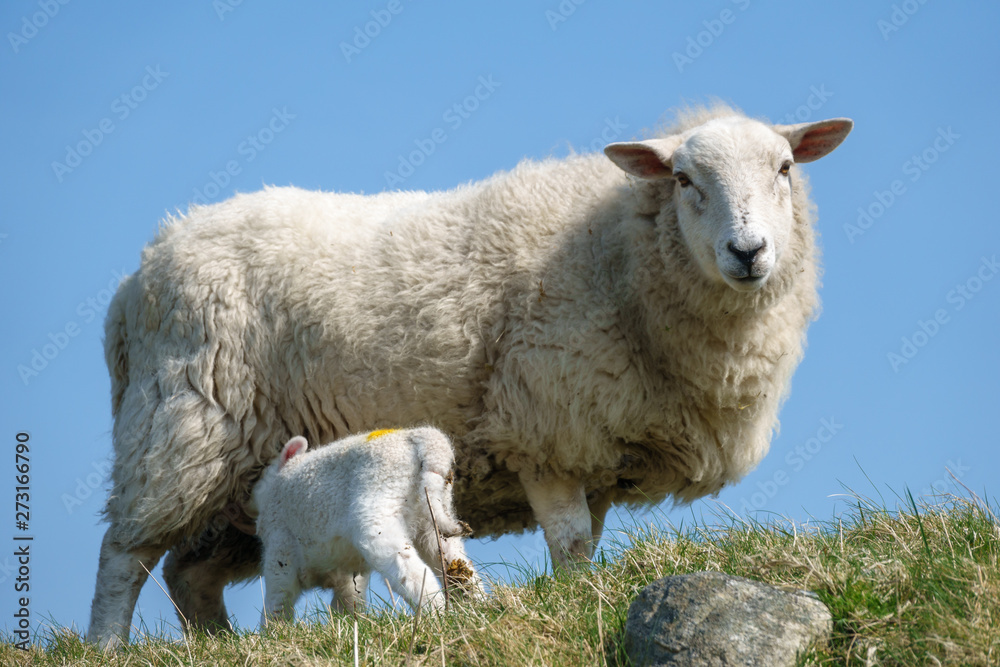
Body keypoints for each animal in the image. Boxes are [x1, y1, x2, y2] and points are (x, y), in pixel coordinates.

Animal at [251, 427, 481, 623]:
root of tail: (424, 437)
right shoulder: (347, 567)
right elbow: (349, 598)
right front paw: (348, 624)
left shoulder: (280, 548)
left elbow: (277, 600)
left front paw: (273, 633)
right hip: (432, 517)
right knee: (458, 566)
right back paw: (476, 608)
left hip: (378, 512)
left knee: (412, 571)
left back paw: (436, 614)